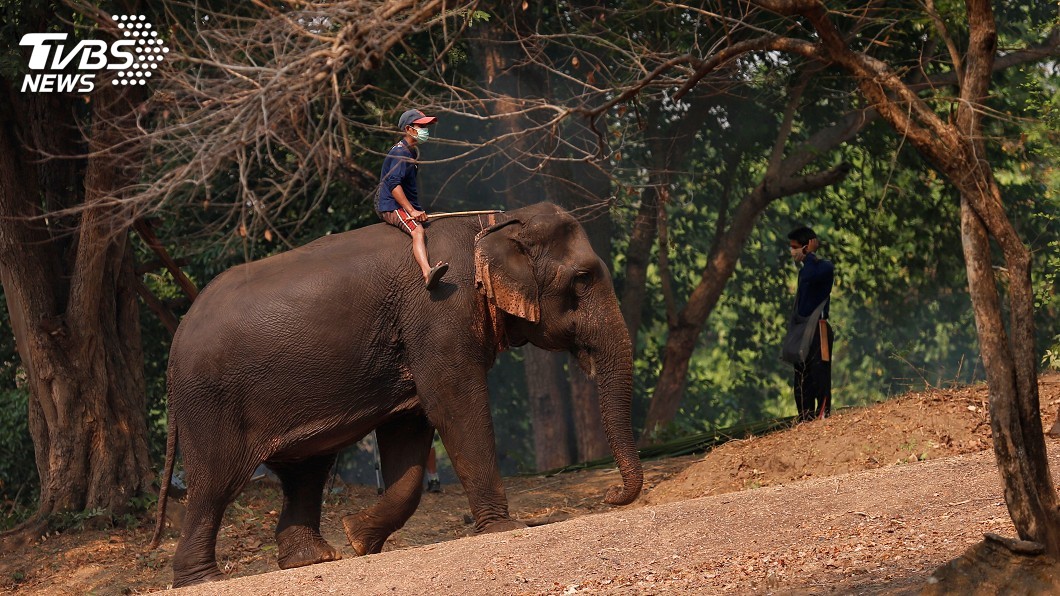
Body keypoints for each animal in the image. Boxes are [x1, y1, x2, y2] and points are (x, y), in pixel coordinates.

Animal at [151, 202, 643, 587]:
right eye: (582, 279)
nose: (609, 496)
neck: (495, 223)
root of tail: (177, 340)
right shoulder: (440, 313)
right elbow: (452, 403)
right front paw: (507, 527)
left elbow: (410, 427)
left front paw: (358, 537)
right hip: (210, 401)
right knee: (215, 482)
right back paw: (203, 579)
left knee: (304, 471)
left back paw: (314, 559)